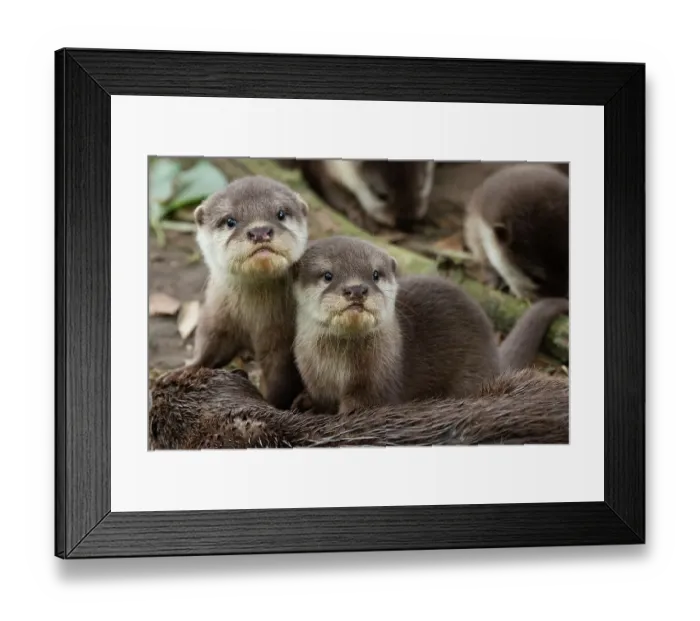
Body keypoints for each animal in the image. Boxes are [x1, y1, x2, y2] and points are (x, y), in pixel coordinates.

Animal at [190, 175, 309, 409]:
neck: (253, 318)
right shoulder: (216, 316)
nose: (260, 231)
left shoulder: (282, 342)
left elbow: (280, 381)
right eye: (230, 221)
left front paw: (270, 403)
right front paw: (183, 372)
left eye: (281, 214)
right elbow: (207, 345)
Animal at [291, 236, 502, 415]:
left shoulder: (375, 385)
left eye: (375, 274)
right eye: (328, 275)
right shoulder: (315, 379)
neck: (338, 370)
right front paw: (305, 403)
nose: (357, 289)